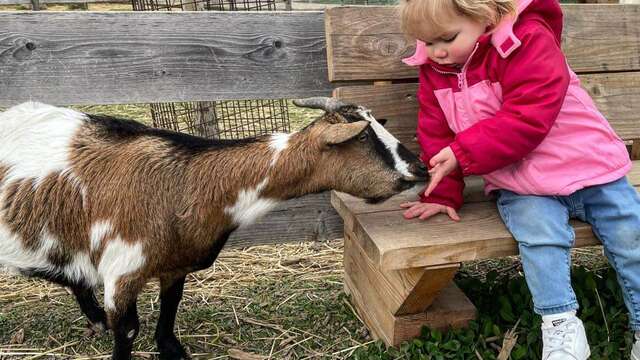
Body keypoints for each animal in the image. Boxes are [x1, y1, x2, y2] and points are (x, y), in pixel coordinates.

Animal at [0, 97, 428, 358]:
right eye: (366, 136)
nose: (421, 169)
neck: (186, 183)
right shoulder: (121, 273)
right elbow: (129, 331)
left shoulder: (175, 265)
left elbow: (169, 316)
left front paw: (171, 348)